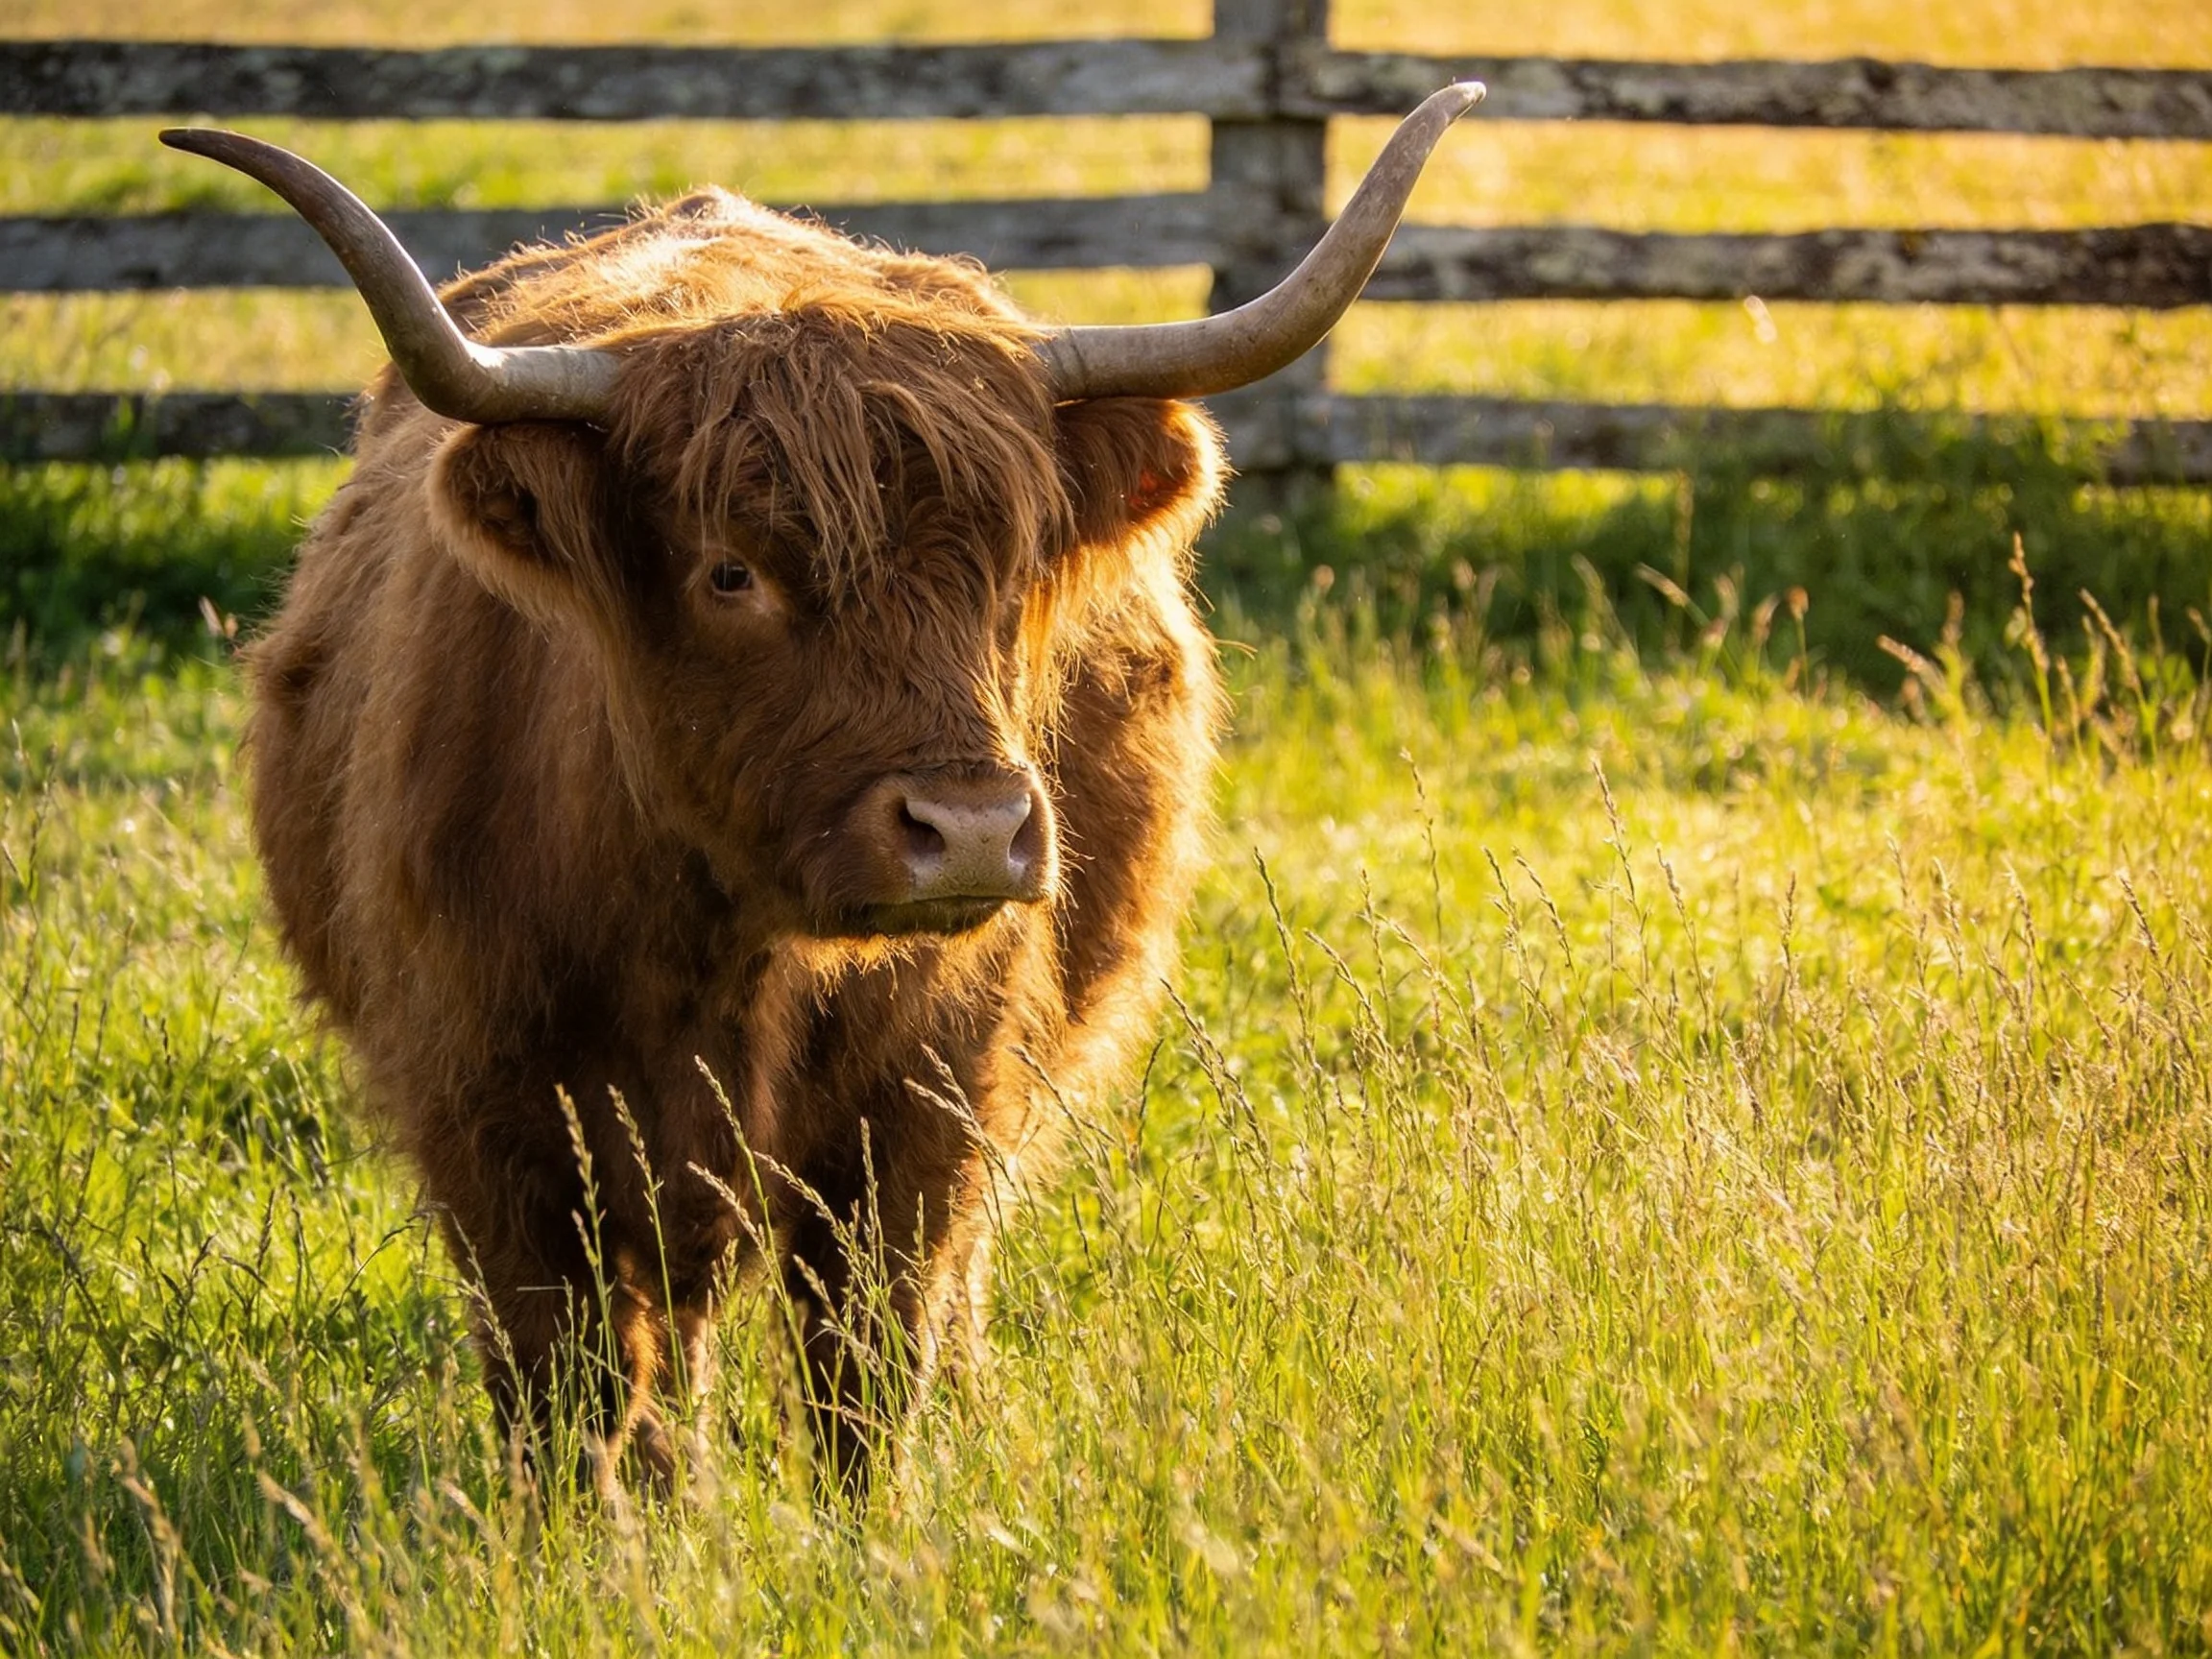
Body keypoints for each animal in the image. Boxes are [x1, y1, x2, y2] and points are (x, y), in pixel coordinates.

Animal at [162, 83, 1481, 1491]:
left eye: (1013, 566)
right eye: (731, 571)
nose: (972, 832)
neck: (723, 951)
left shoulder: (920, 1110)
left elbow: (869, 1365)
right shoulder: (490, 1117)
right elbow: (568, 1389)